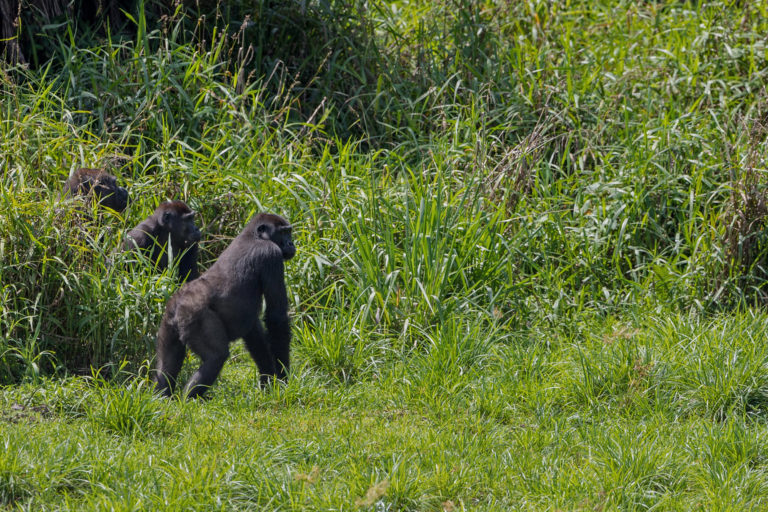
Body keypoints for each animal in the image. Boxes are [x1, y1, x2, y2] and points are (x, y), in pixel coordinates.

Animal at [154, 212, 296, 400]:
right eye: (284, 233)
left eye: (289, 232)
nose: (291, 244)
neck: (253, 235)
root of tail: (178, 304)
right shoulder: (271, 255)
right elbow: (276, 317)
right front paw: (283, 377)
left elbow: (256, 335)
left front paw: (268, 382)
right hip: (194, 316)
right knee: (216, 357)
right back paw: (189, 399)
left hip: (168, 319)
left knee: (166, 363)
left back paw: (162, 397)